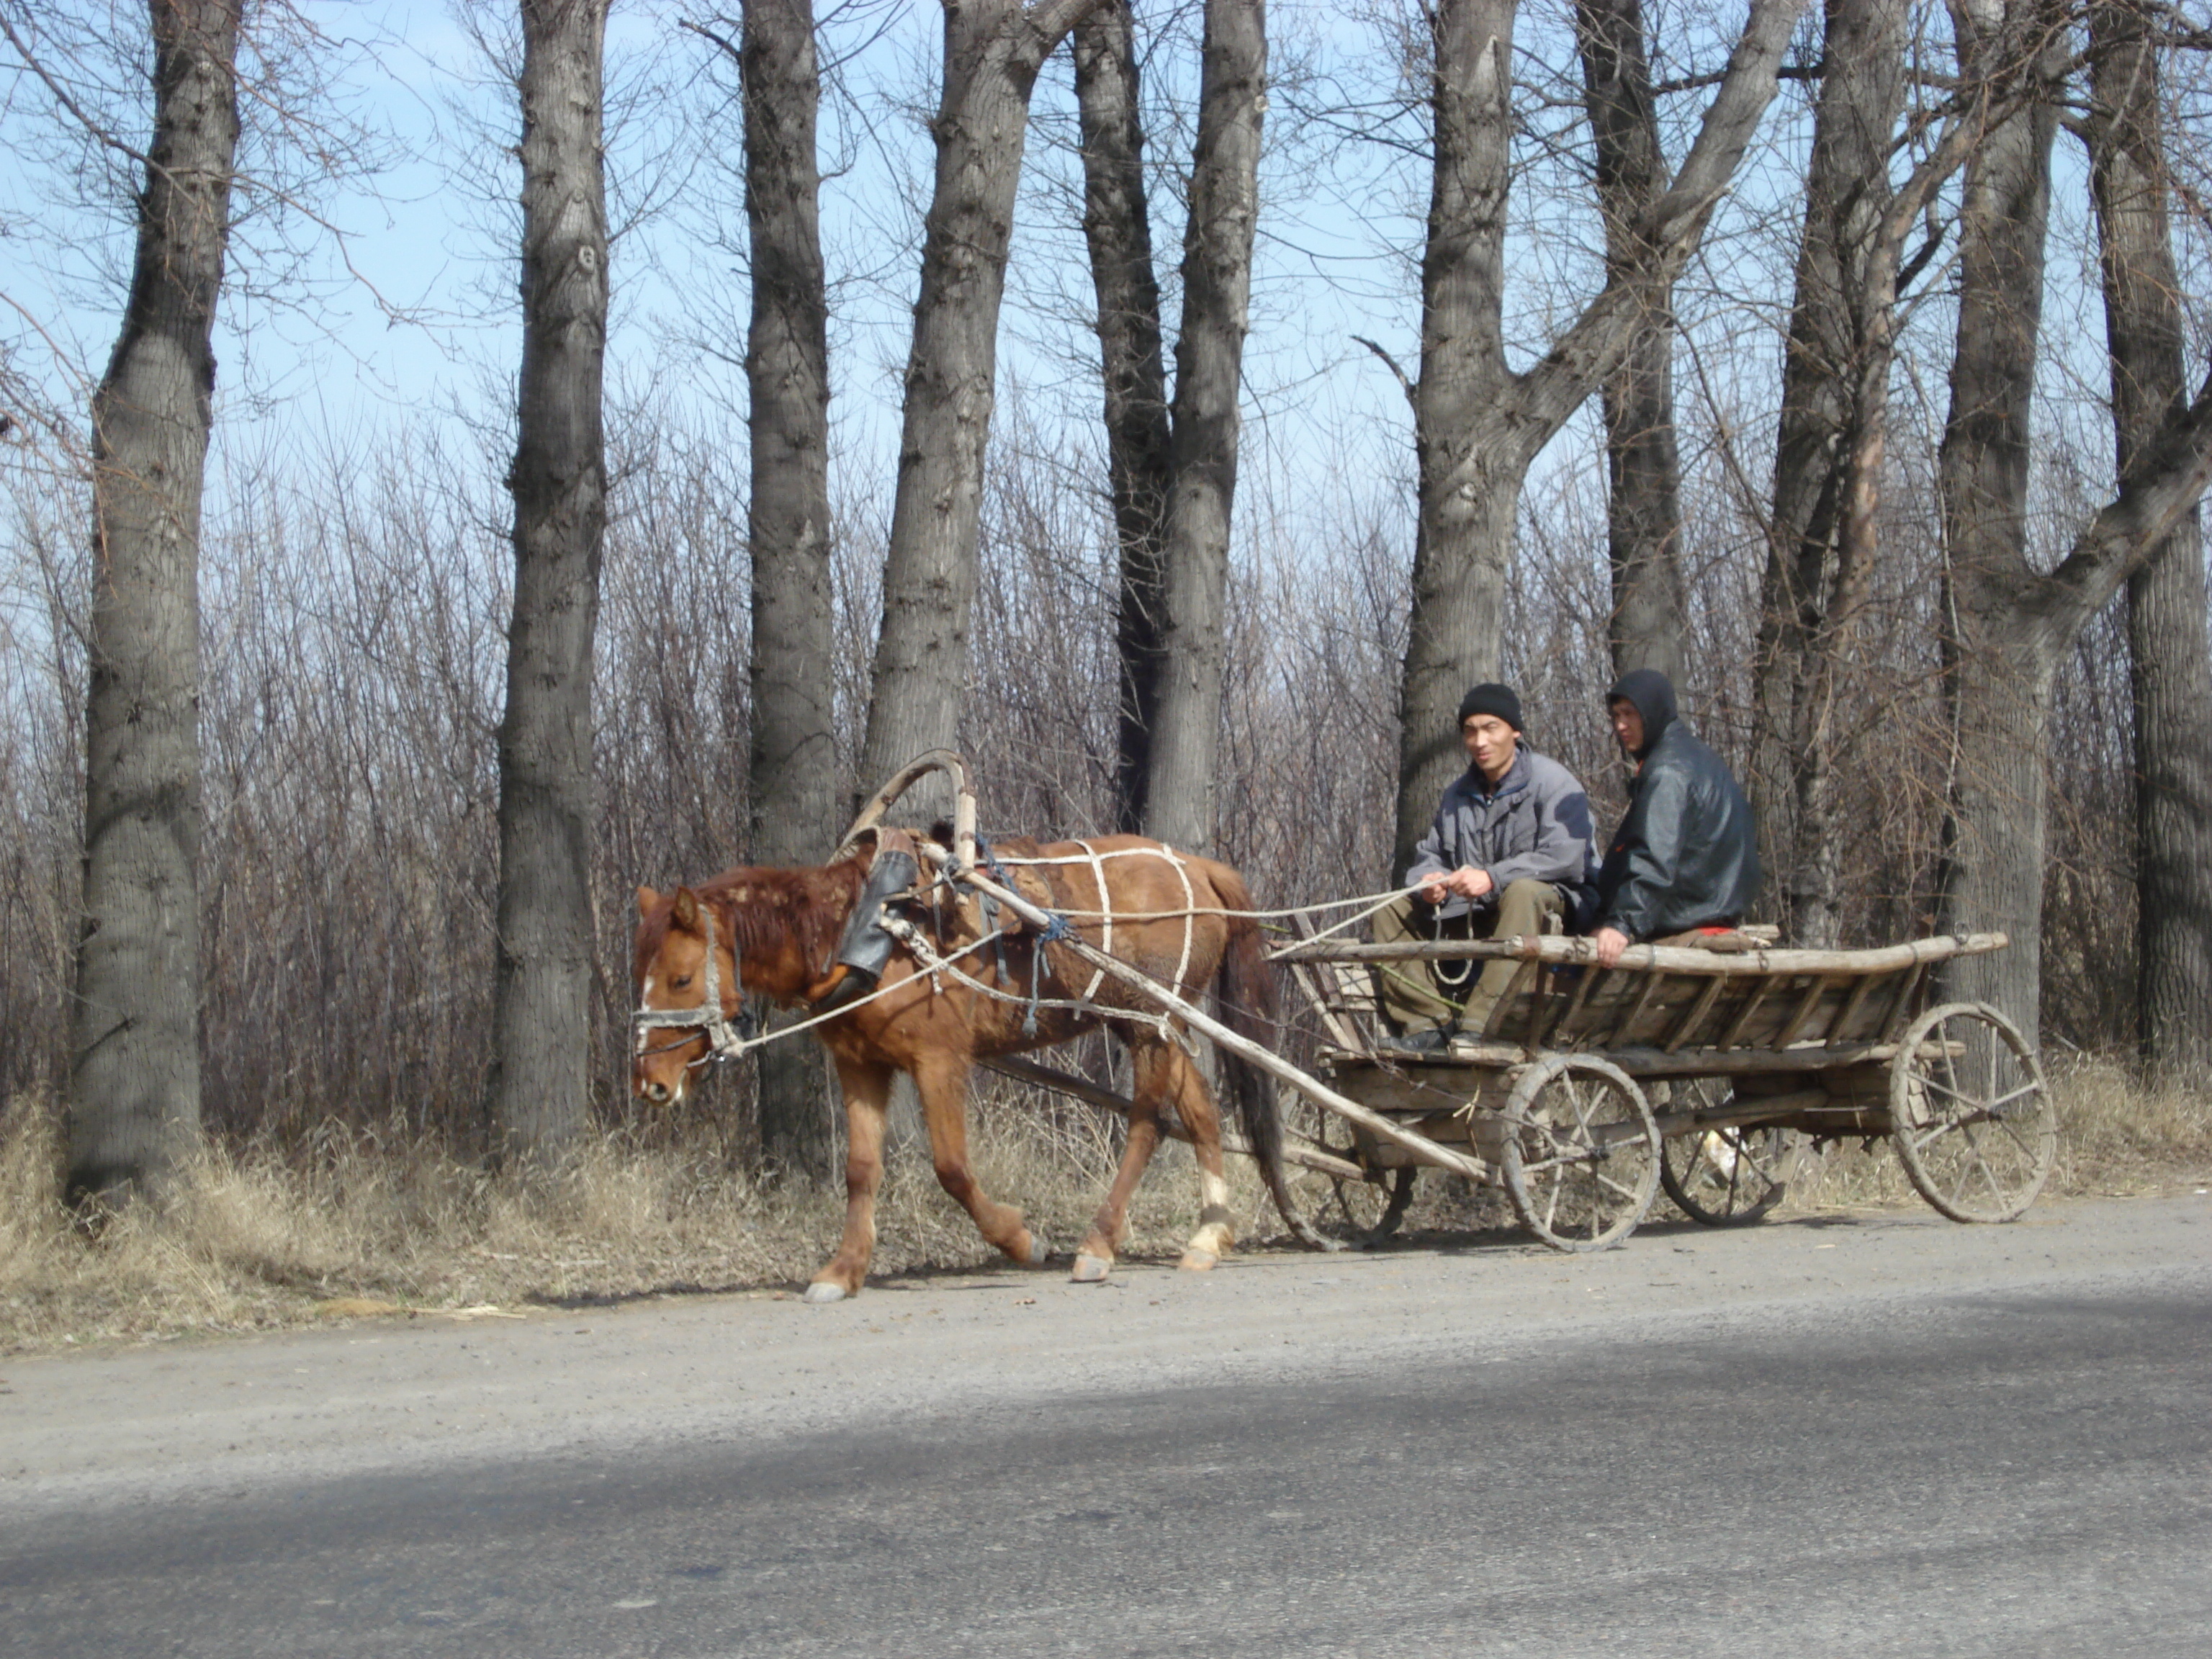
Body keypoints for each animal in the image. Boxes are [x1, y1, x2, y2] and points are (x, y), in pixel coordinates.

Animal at [628, 836, 1309, 1309]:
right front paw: (842, 1271)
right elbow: (861, 1171)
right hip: (1154, 1022)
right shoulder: (860, 1066)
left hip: (1149, 1023)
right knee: (1200, 1111)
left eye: (681, 978)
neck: (870, 930)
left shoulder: (939, 1061)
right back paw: (1208, 1237)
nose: (651, 1084)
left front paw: (1020, 1240)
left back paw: (1097, 1244)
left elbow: (952, 1168)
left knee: (1147, 1122)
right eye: (641, 971)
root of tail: (1196, 865)